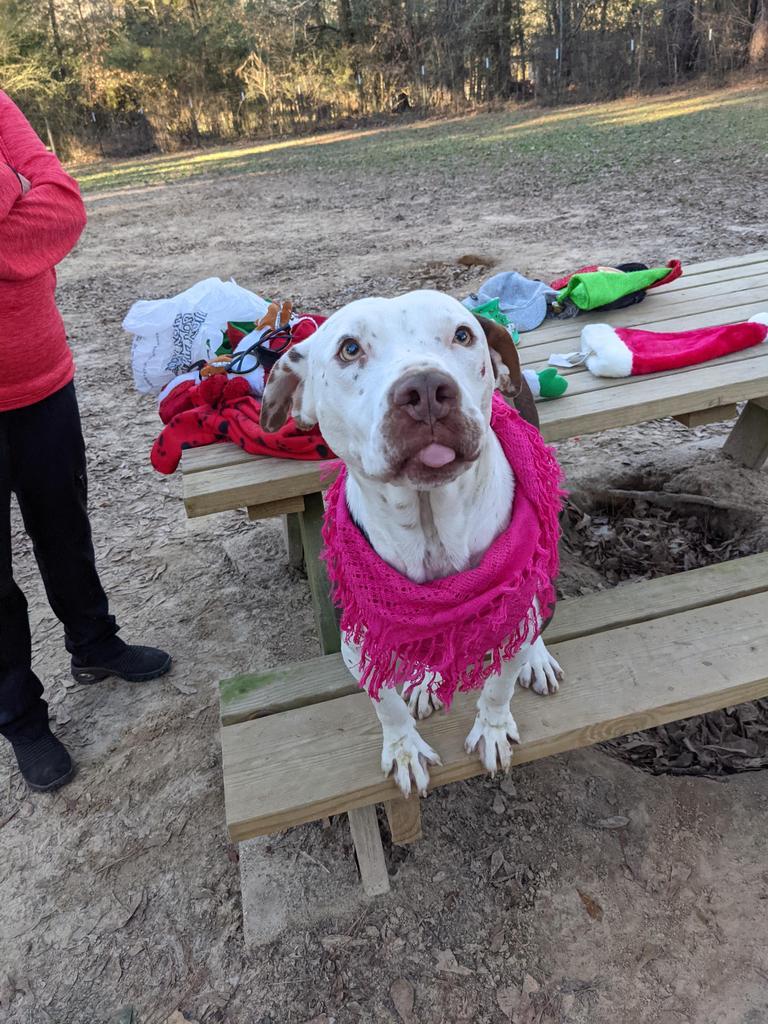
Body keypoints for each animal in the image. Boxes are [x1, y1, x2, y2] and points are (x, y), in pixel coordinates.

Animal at [262, 288, 561, 798]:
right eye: (349, 348)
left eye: (462, 335)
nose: (424, 388)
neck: (430, 524)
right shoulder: (359, 636)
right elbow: (385, 702)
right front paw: (404, 748)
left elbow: (498, 683)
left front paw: (493, 729)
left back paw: (535, 657)